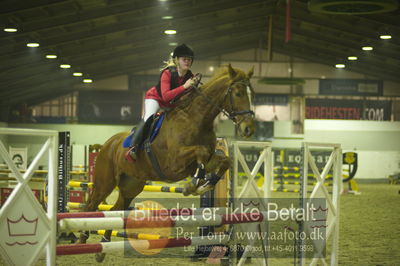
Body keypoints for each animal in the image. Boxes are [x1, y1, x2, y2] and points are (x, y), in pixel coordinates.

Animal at [79, 64, 258, 260]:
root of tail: (107, 144)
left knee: (116, 209)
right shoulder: (174, 162)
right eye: (239, 93)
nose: (249, 129)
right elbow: (201, 152)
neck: (196, 120)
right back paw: (81, 238)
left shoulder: (203, 161)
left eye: (252, 94)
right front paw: (193, 185)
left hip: (131, 185)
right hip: (105, 182)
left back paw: (103, 247)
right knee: (91, 205)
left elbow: (224, 160)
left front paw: (205, 184)